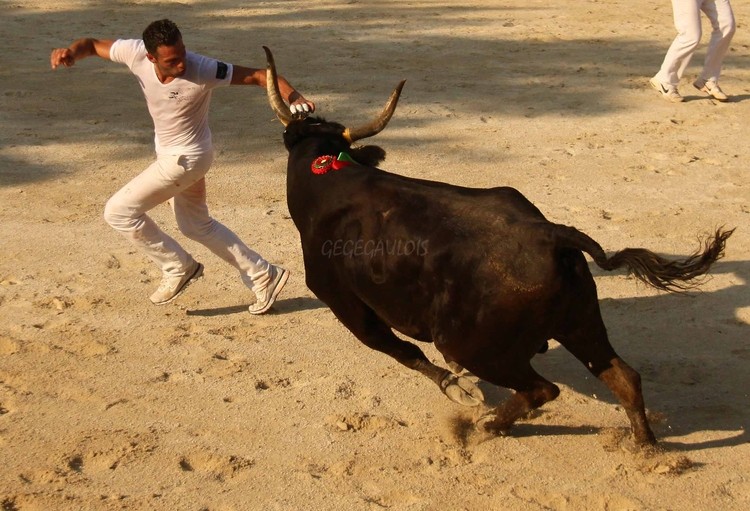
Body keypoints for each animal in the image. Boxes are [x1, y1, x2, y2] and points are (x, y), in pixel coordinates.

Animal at [262, 48, 736, 448]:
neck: (329, 177)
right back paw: (644, 446)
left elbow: (404, 352)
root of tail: (552, 234)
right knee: (624, 377)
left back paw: (486, 427)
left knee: (542, 388)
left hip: (471, 344)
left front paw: (458, 390)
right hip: (582, 323)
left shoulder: (346, 305)